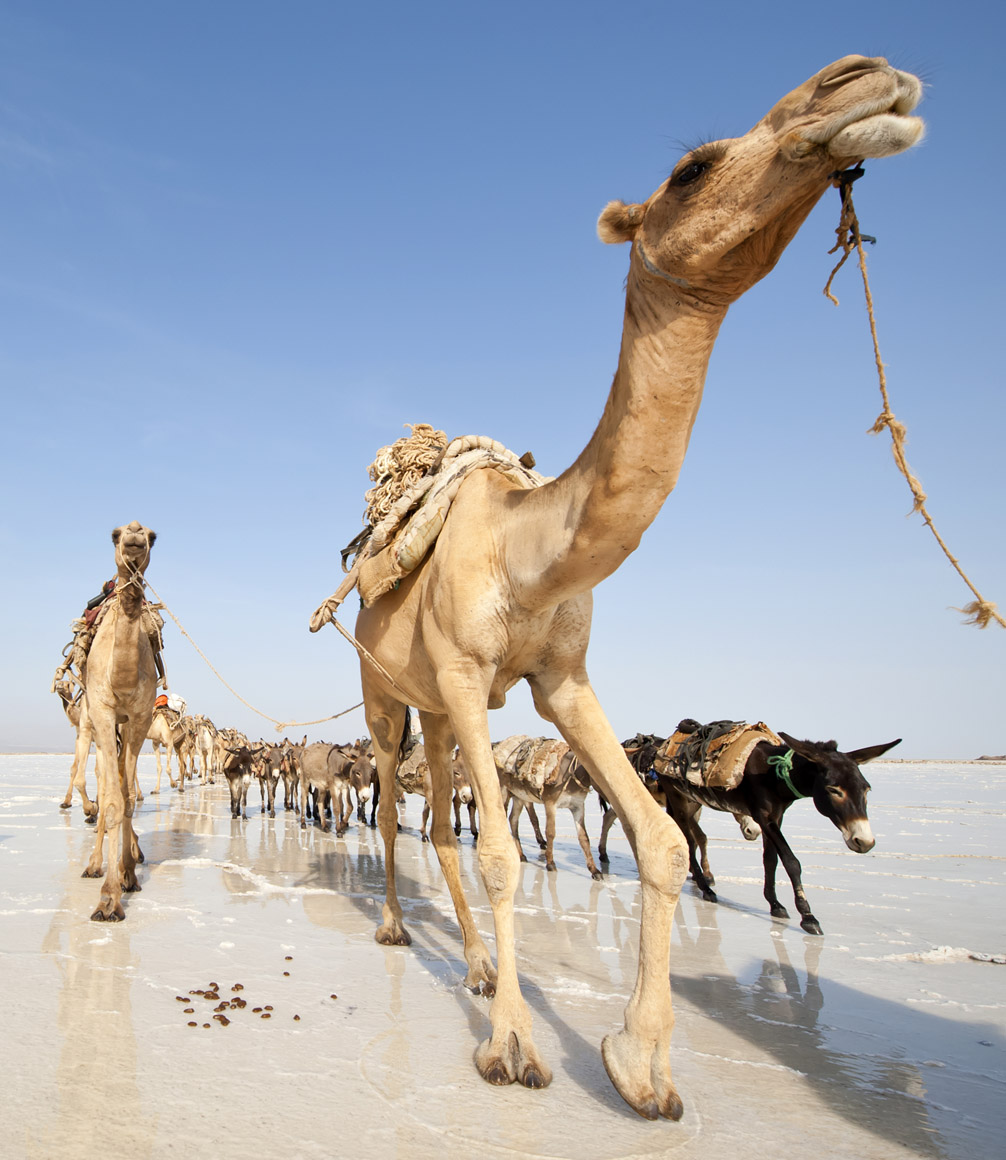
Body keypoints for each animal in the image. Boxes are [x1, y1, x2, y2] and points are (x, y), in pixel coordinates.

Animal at [327, 56, 923, 1113]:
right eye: (690, 169)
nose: (859, 80)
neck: (524, 550)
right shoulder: (468, 675)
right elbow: (501, 854)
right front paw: (512, 1049)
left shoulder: (559, 680)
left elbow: (655, 840)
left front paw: (639, 1066)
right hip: (384, 694)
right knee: (403, 810)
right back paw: (401, 930)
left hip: (437, 708)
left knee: (436, 821)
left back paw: (475, 966)